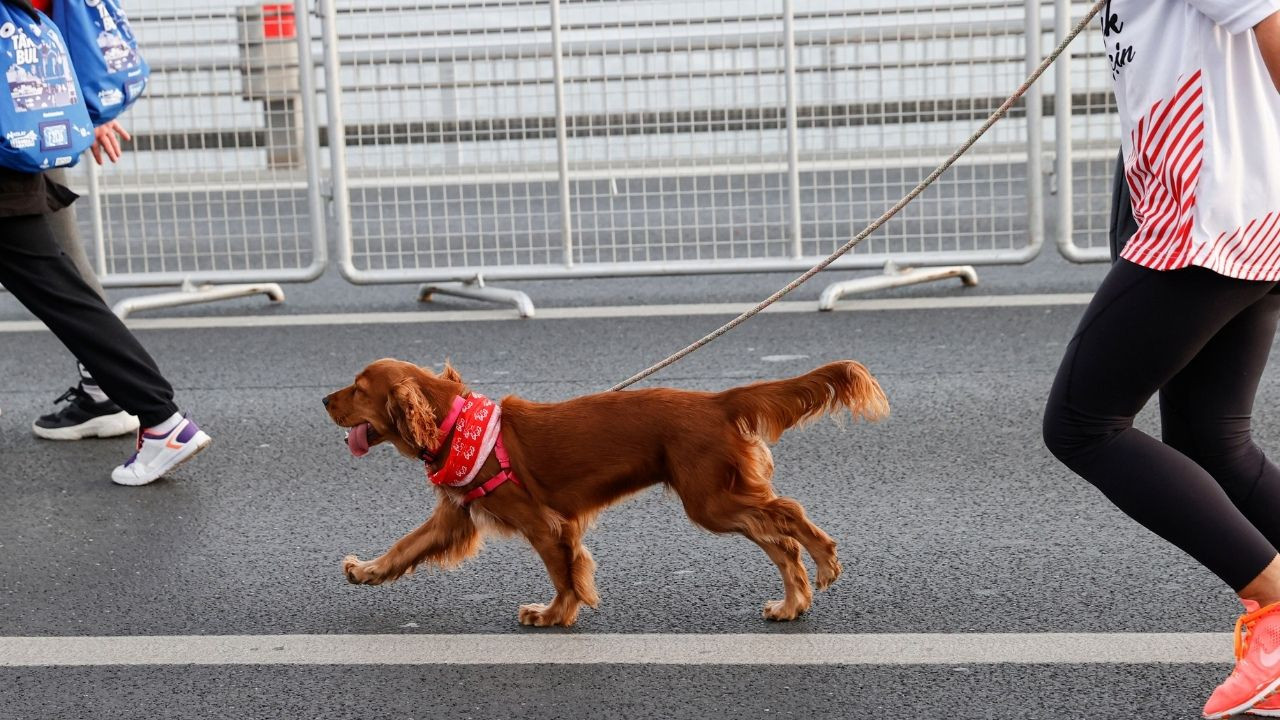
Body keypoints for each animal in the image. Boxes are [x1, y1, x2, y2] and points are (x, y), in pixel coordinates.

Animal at [325, 358, 885, 622]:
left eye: (358, 388)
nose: (325, 400)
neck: (456, 422)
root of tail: (717, 400)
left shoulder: (544, 524)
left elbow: (564, 575)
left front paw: (553, 616)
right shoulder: (454, 516)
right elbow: (404, 547)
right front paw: (365, 570)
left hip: (712, 500)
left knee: (788, 514)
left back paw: (825, 561)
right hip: (721, 499)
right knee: (779, 539)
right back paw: (792, 604)